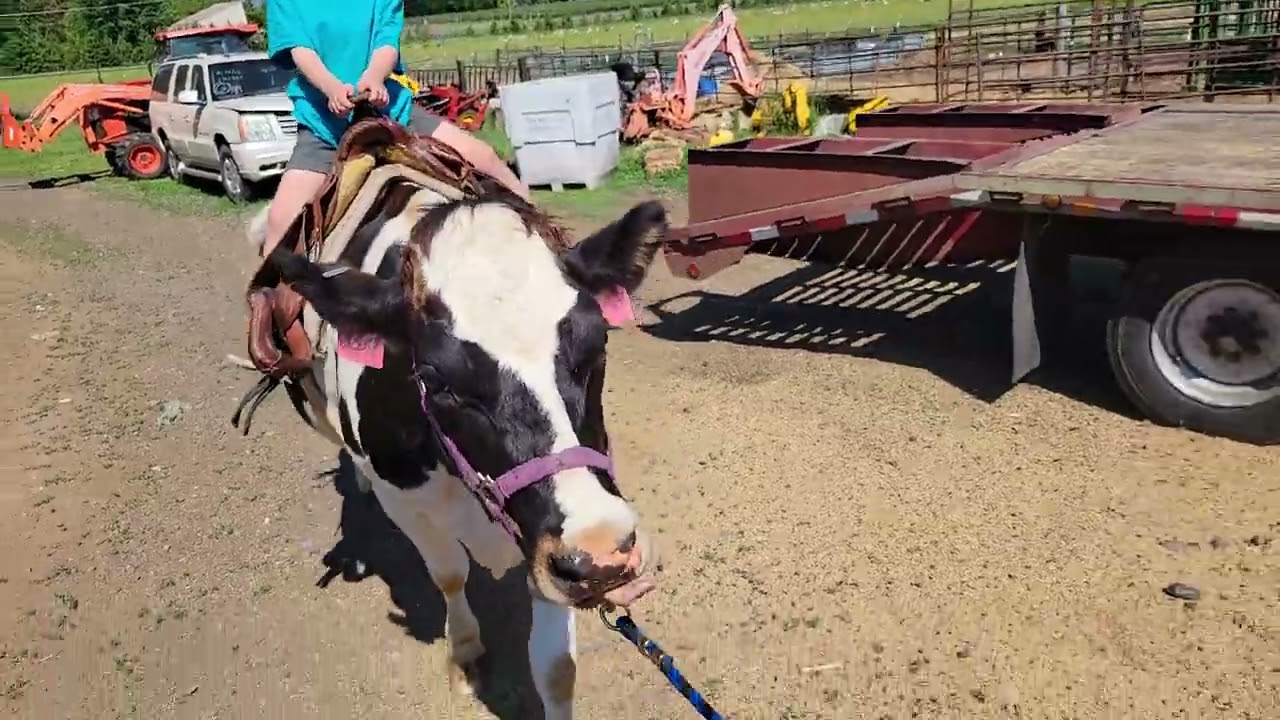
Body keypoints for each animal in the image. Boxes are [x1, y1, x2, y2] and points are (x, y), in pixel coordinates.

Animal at [250, 186, 668, 717]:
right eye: (435, 379)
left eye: (598, 347)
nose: (601, 555)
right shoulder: (406, 502)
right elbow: (449, 573)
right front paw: (465, 654)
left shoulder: (538, 533)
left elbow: (555, 668)